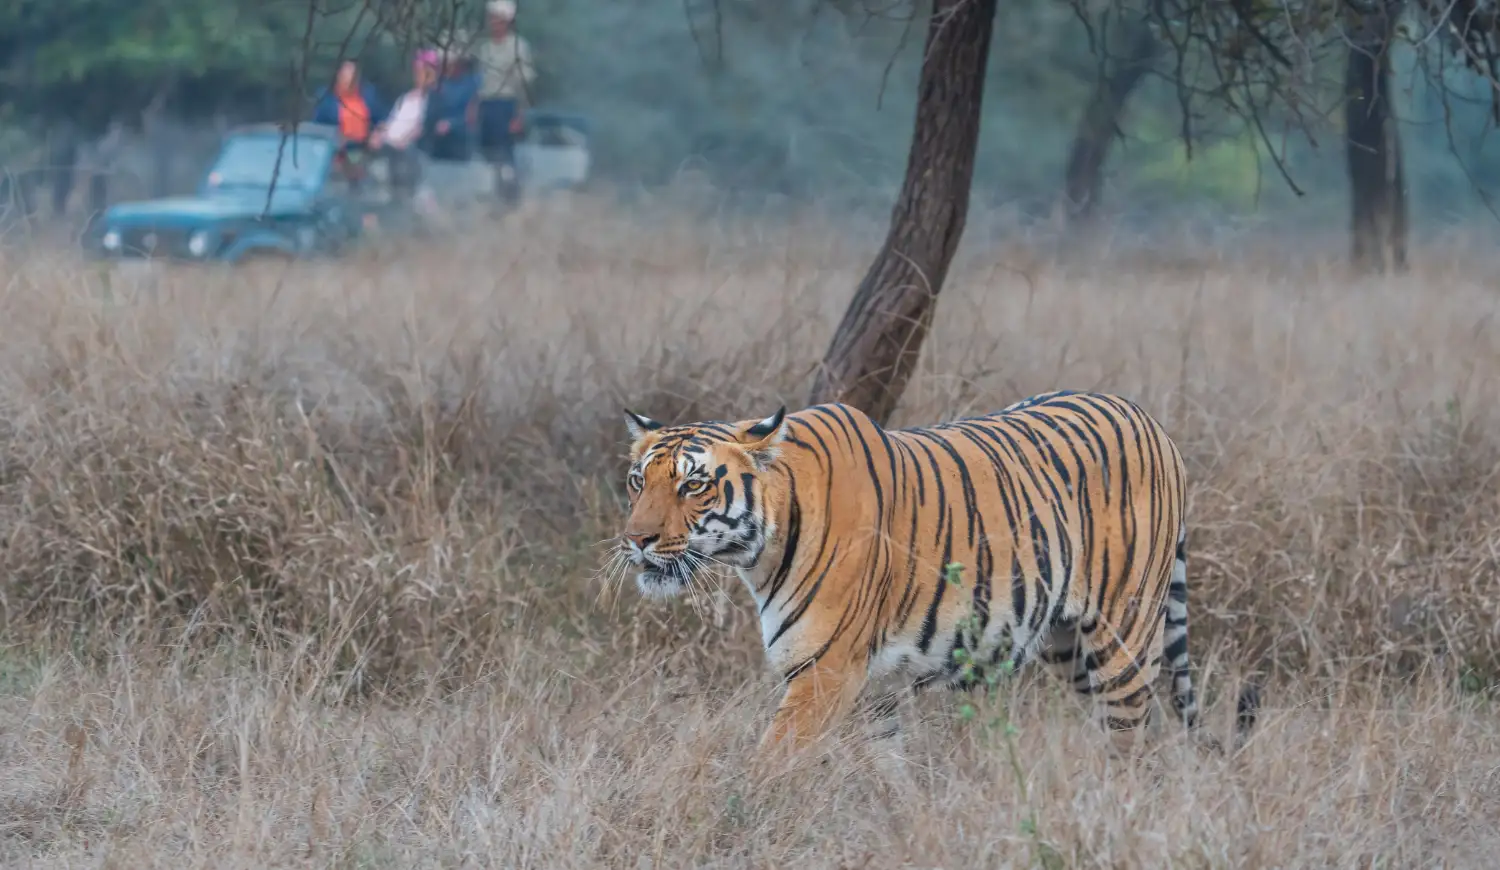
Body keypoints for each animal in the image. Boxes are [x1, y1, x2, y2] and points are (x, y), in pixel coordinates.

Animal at [614, 390, 1260, 756]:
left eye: (694, 485)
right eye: (637, 481)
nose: (635, 540)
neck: (761, 550)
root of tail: (1151, 420)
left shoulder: (822, 673)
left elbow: (769, 768)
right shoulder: (875, 689)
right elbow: (887, 772)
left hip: (1123, 638)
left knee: (1132, 744)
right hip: (1068, 647)